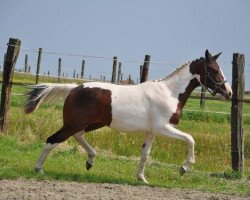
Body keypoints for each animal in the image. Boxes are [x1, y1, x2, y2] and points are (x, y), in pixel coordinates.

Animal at [24, 49, 232, 183]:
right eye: (214, 70)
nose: (228, 92)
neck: (170, 93)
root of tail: (75, 88)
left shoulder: (151, 132)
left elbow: (145, 154)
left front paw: (142, 178)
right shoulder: (163, 128)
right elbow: (190, 139)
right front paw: (184, 168)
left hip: (92, 123)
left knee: (77, 136)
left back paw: (90, 161)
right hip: (74, 124)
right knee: (52, 140)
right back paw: (38, 169)